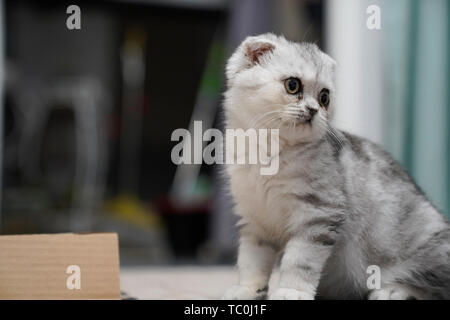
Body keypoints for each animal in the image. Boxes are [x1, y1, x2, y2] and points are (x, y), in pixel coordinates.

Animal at [222, 33, 450, 298]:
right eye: (293, 85)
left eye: (324, 97)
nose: (313, 110)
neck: (269, 150)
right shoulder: (255, 219)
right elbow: (251, 260)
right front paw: (248, 289)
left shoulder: (317, 214)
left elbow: (299, 262)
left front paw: (291, 291)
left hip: (425, 254)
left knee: (430, 287)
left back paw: (391, 291)